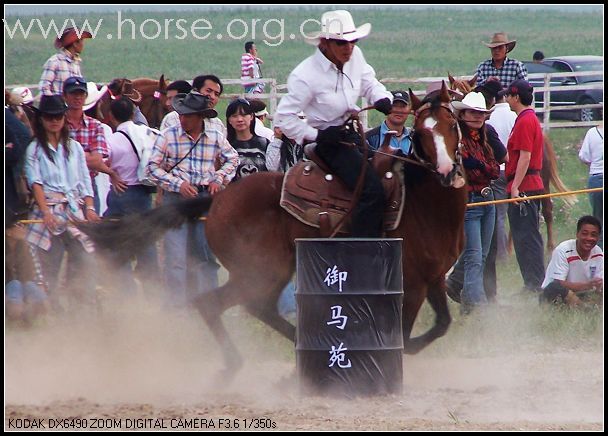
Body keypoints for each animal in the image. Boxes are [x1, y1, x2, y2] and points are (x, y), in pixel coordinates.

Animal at [76, 82, 466, 372]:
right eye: (422, 133)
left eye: (451, 125)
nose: (448, 173)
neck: (420, 203)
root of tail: (219, 198)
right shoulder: (411, 285)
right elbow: (403, 335)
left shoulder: (432, 278)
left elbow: (441, 324)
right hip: (261, 270)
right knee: (219, 303)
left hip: (270, 271)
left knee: (252, 307)